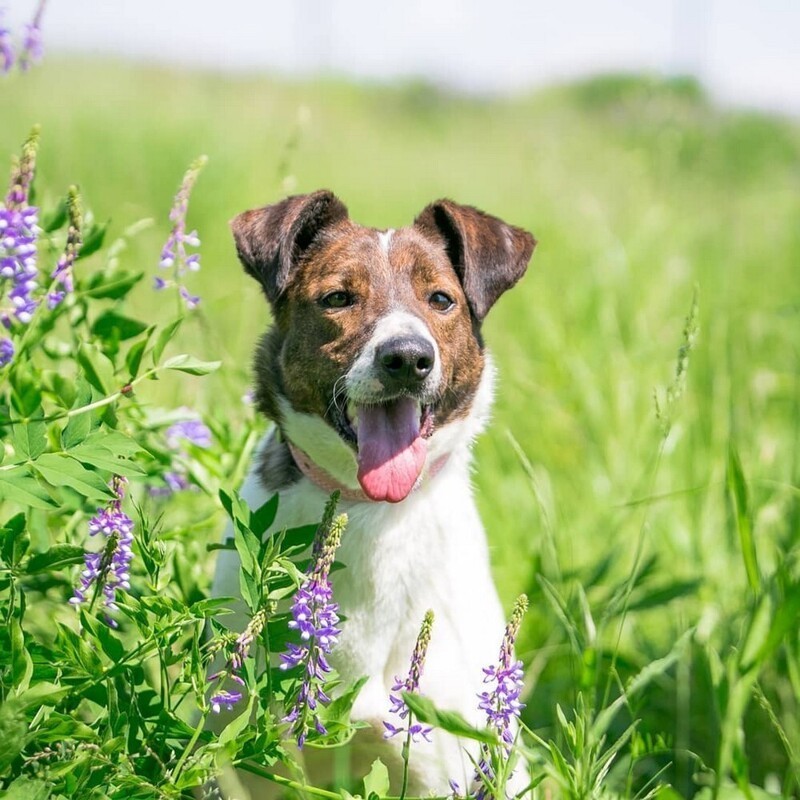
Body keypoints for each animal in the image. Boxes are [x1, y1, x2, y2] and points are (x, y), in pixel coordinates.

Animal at [214, 192, 536, 792]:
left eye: (441, 299)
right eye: (338, 298)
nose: (407, 357)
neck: (372, 510)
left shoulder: (438, 761)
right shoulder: (239, 759)